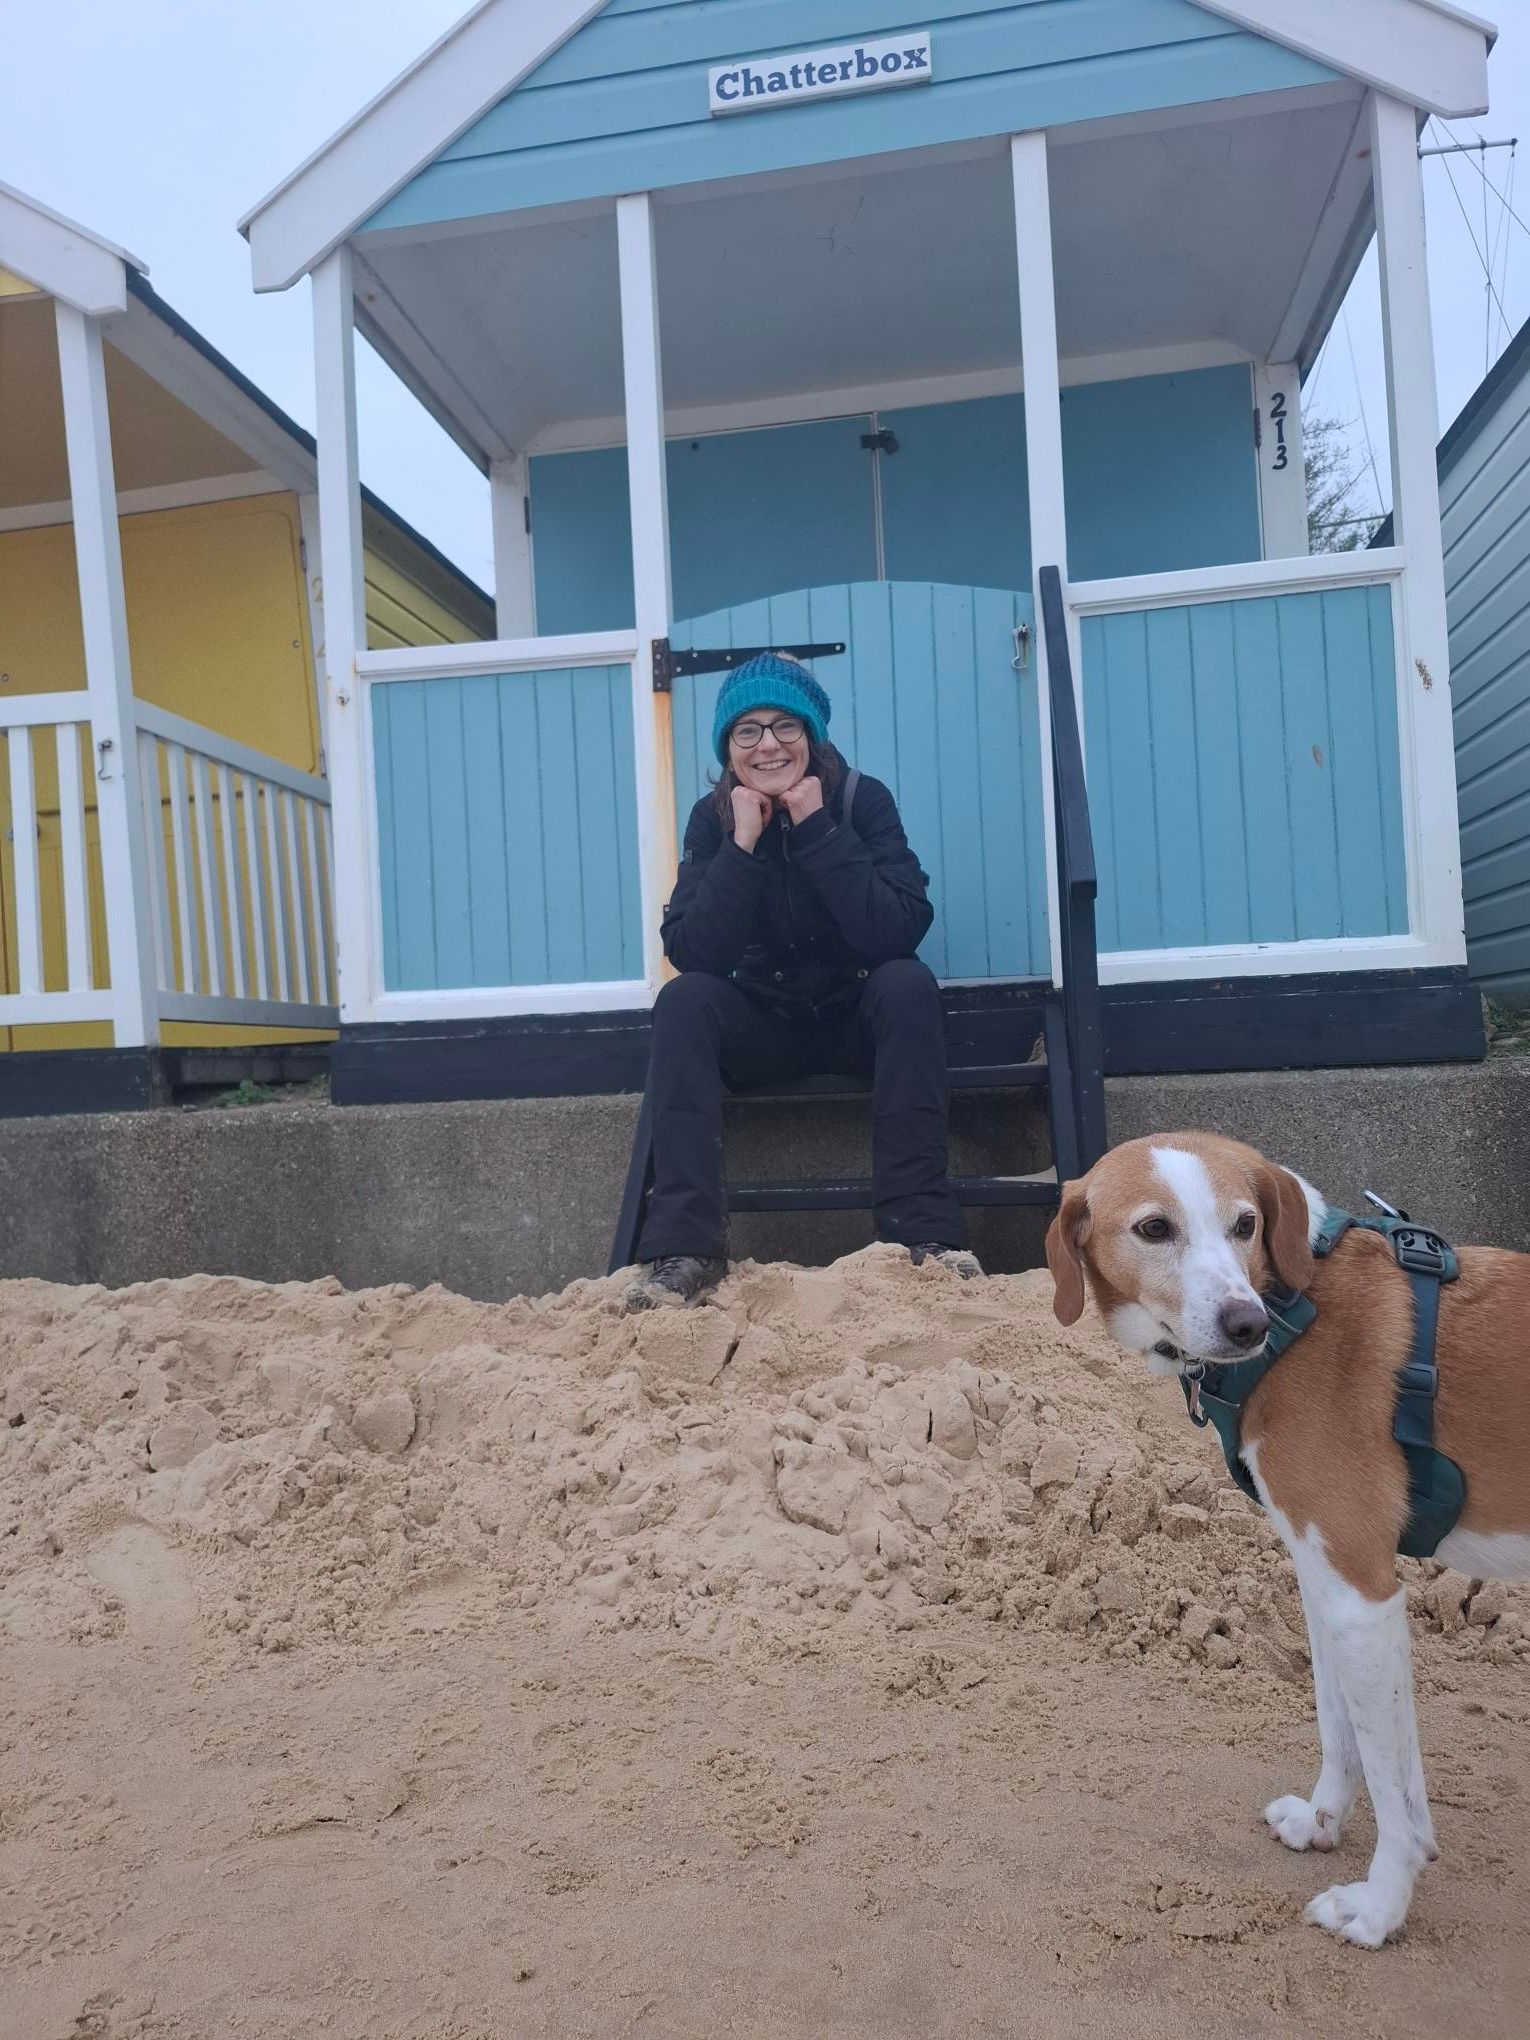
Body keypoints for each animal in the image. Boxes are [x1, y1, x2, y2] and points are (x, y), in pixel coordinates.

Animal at [1044, 1130, 1529, 1948]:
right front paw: (1324, 1822)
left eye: (1244, 1224)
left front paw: (1380, 1906)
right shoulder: (1323, 1580)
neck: (1299, 1307)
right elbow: (1346, 1729)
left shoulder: (1364, 1592)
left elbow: (1391, 1781)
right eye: (1153, 1229)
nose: (1246, 1325)